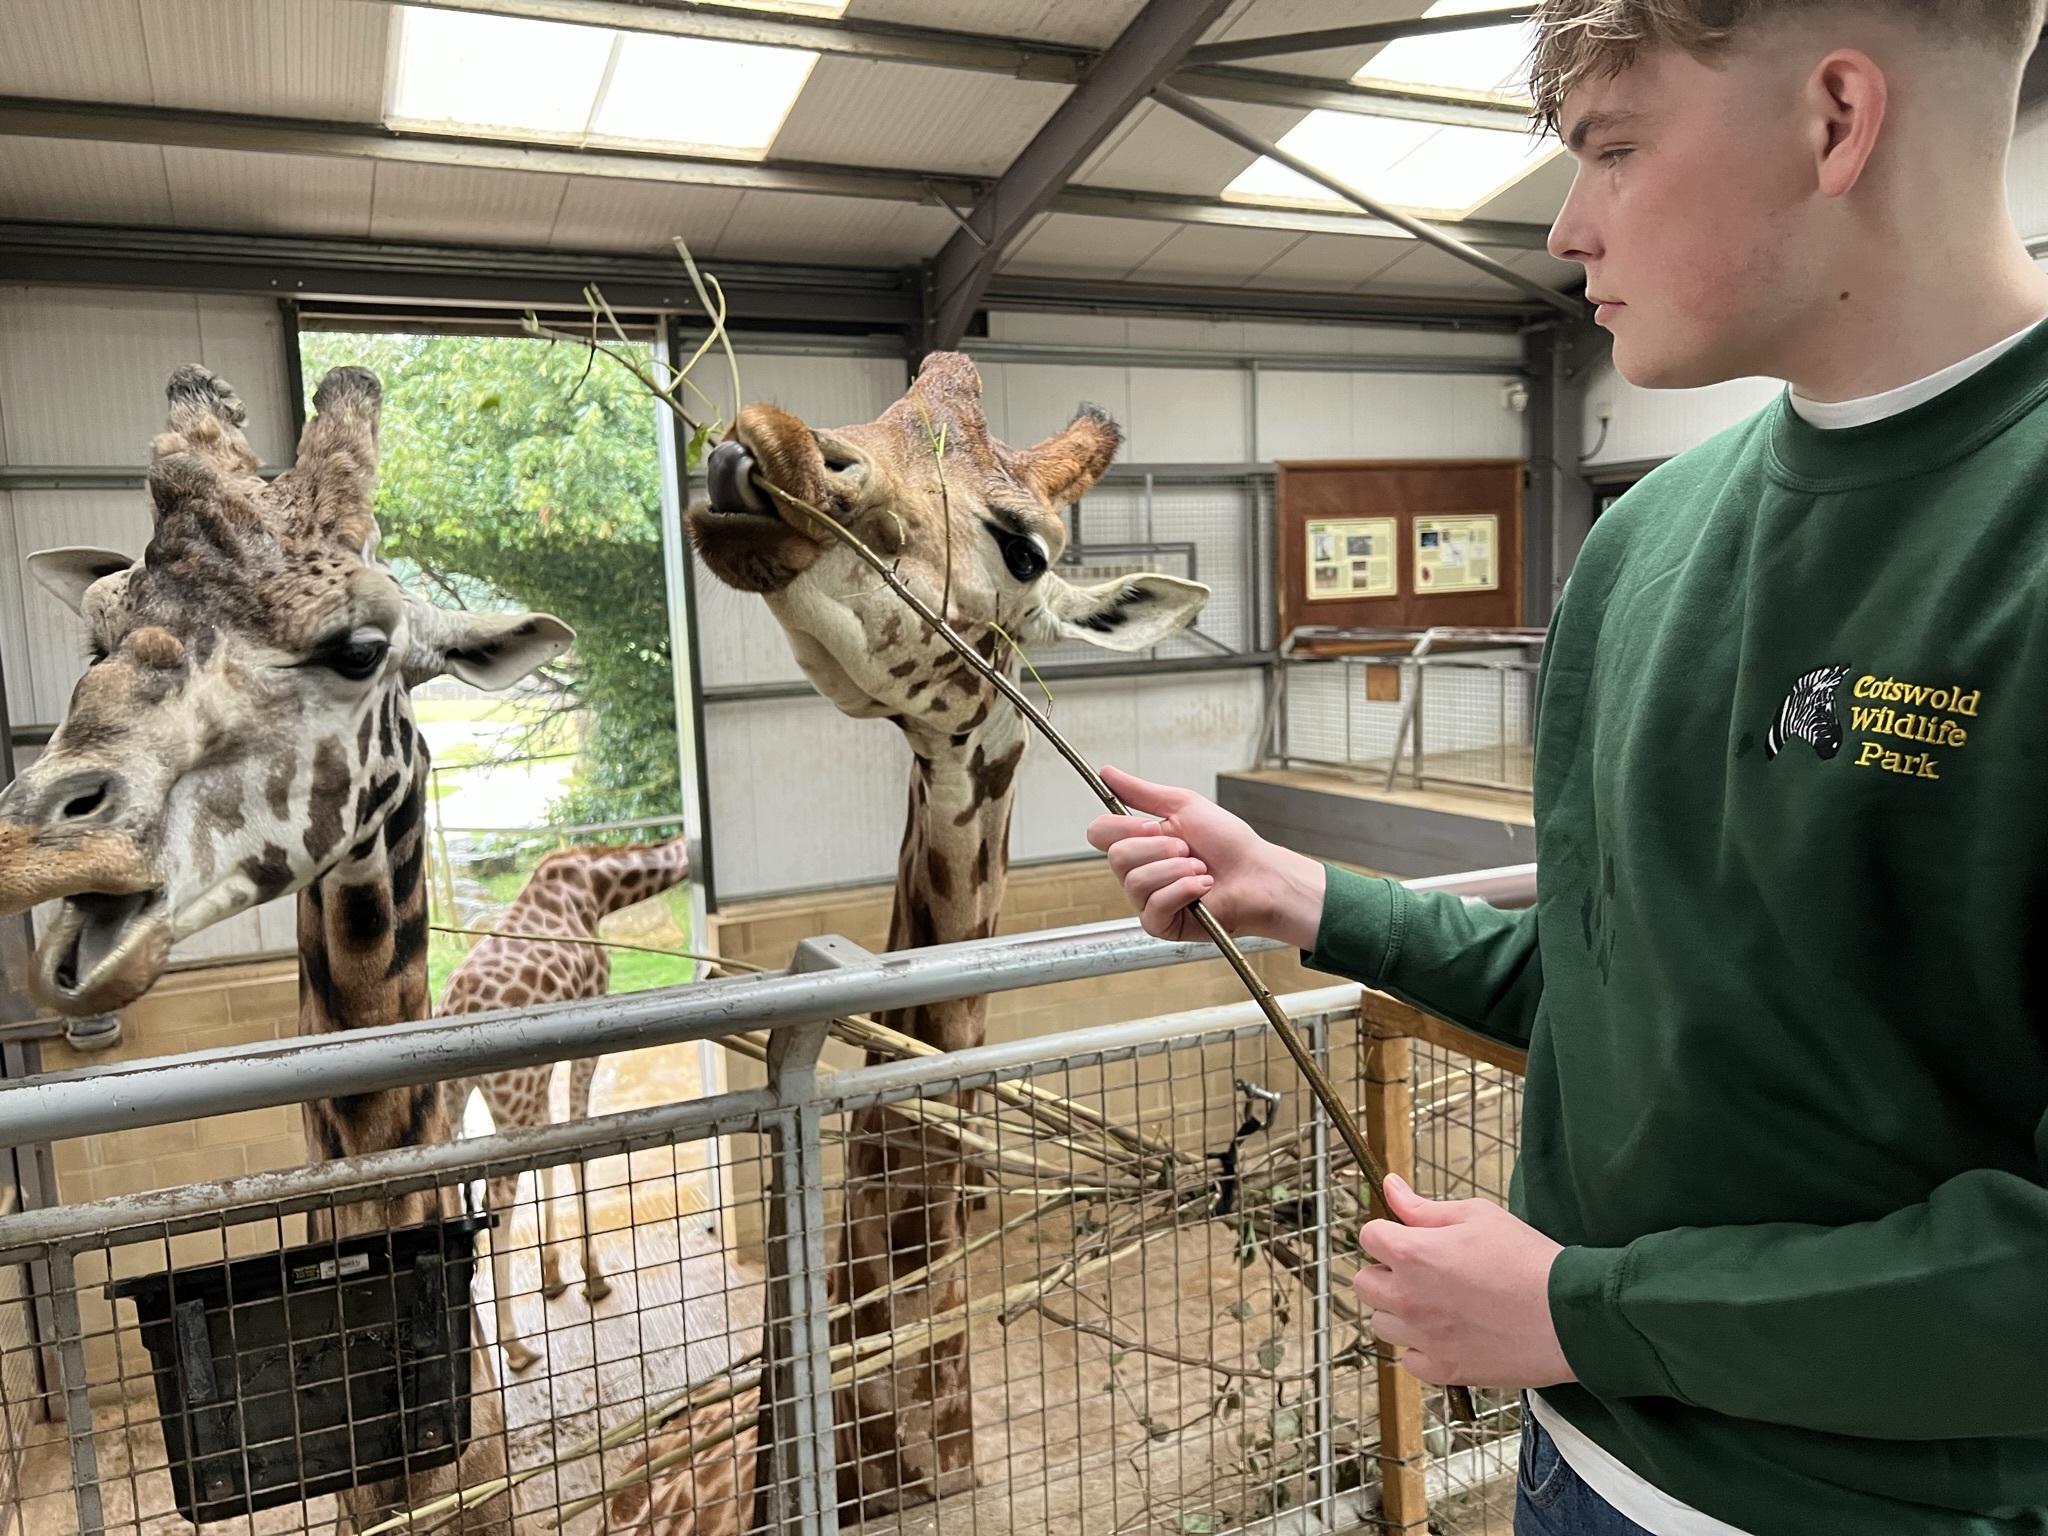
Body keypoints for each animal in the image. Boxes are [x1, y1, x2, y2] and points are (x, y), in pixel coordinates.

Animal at [436, 835, 692, 1376]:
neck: (598, 888)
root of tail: (450, 1009)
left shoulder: (543, 1062)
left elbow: (551, 1151)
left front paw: (553, 1275)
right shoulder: (588, 1023)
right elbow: (578, 1145)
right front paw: (592, 1275)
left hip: (458, 1100)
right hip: (508, 1095)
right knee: (496, 1201)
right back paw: (514, 1346)